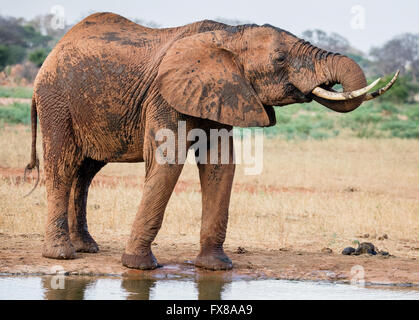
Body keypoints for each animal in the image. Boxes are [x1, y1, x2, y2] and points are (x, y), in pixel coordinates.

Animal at [24, 11, 398, 270]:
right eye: (280, 59)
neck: (228, 34)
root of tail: (53, 50)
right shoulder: (163, 95)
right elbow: (168, 160)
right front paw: (140, 267)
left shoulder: (220, 93)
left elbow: (221, 164)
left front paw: (215, 267)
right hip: (56, 99)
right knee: (63, 164)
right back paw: (62, 256)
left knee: (85, 172)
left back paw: (87, 248)